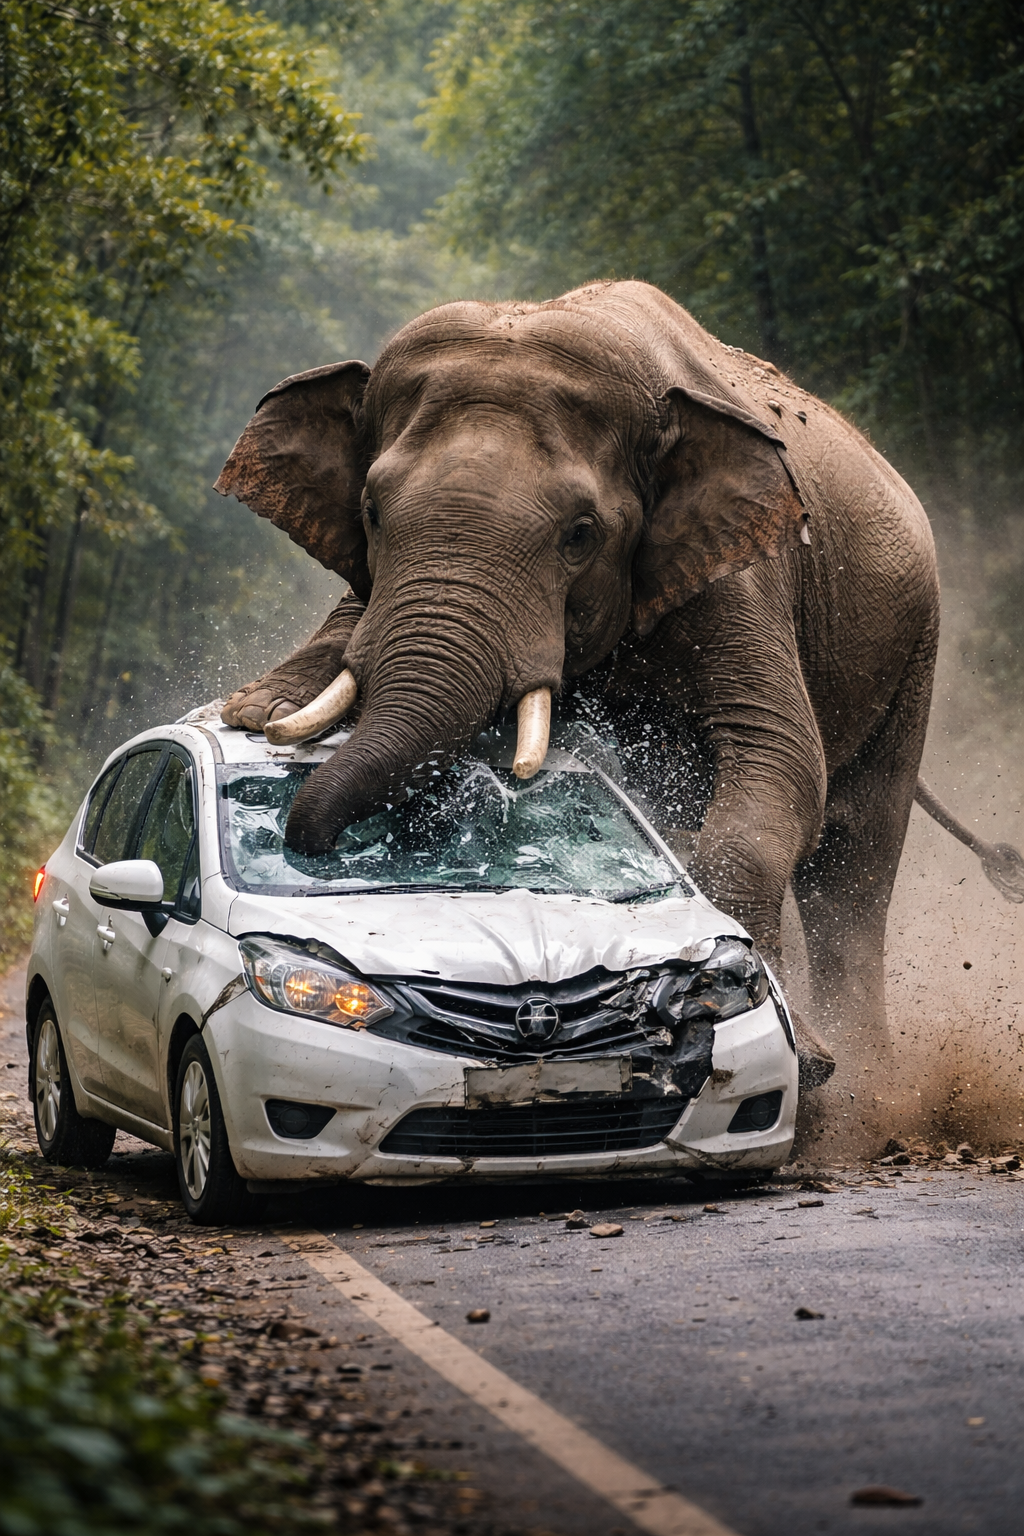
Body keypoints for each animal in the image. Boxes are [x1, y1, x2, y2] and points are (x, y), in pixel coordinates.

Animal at [214, 280, 1024, 1140]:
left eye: (580, 534)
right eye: (370, 513)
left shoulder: (747, 569)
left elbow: (776, 759)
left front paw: (805, 1061)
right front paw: (259, 708)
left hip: (915, 640)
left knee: (854, 860)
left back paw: (870, 1089)